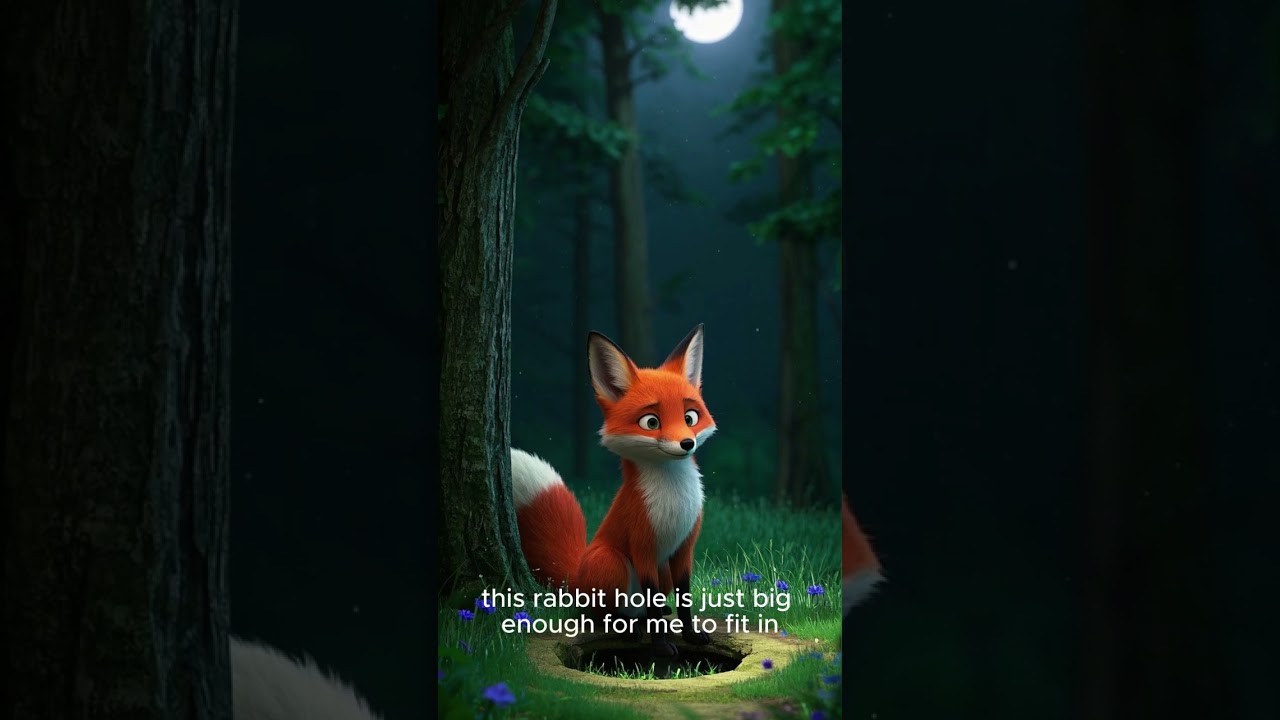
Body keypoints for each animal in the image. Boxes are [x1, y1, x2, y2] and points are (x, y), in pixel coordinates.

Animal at [511, 324, 716, 656]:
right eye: (651, 422)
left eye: (690, 418)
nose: (687, 443)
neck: (674, 499)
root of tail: (578, 574)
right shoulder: (643, 546)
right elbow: (652, 599)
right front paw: (661, 646)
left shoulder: (684, 548)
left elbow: (683, 599)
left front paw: (691, 634)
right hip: (610, 561)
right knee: (602, 614)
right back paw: (627, 627)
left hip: (662, 569)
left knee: (644, 607)